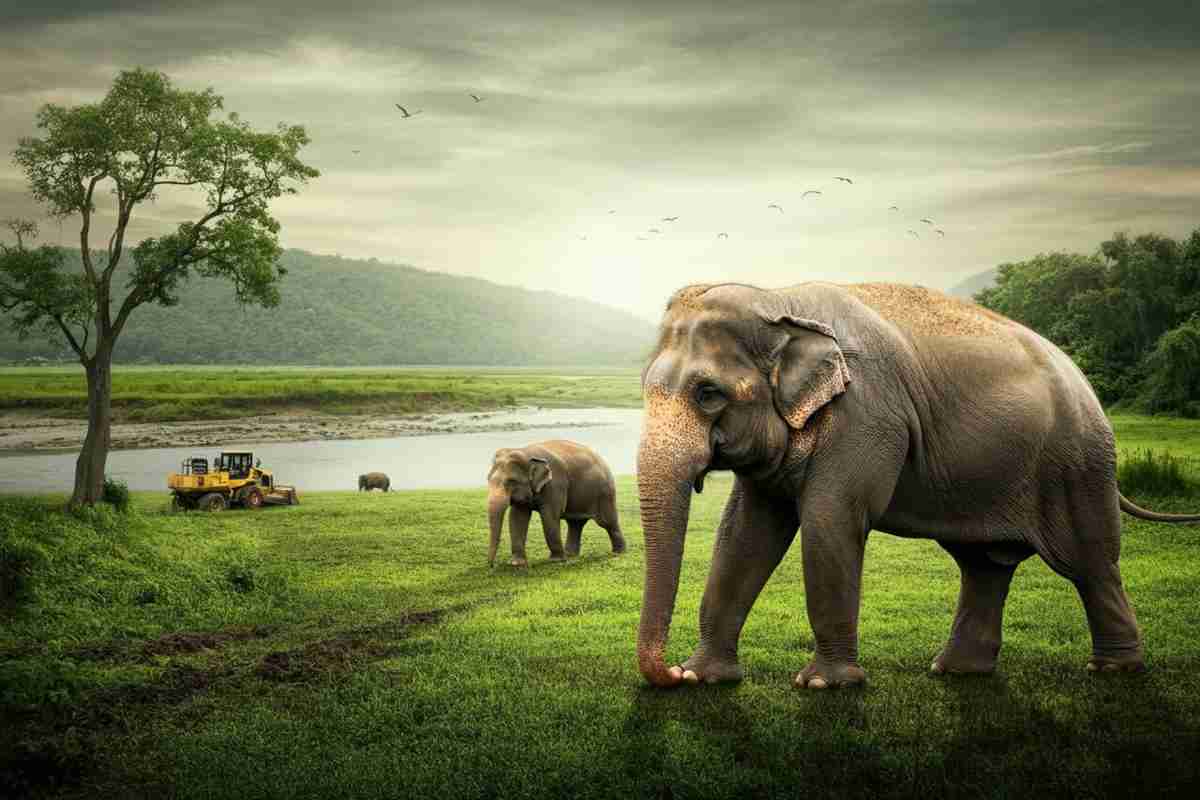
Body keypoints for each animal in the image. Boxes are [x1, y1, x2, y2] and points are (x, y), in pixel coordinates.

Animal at [487, 440, 627, 568]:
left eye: (511, 481)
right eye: (488, 479)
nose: (491, 565)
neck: (526, 451)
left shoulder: (555, 485)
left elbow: (549, 516)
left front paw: (556, 560)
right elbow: (517, 518)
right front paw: (516, 563)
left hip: (605, 493)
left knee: (607, 522)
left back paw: (619, 552)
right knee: (575, 523)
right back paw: (570, 555)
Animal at [635, 281, 1200, 690]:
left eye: (709, 394)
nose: (671, 675)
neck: (779, 299)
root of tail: (1087, 387)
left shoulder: (867, 417)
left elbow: (830, 521)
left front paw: (824, 686)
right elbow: (744, 534)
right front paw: (707, 677)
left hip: (1077, 466)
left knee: (1089, 563)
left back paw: (1114, 670)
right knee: (984, 566)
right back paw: (957, 671)